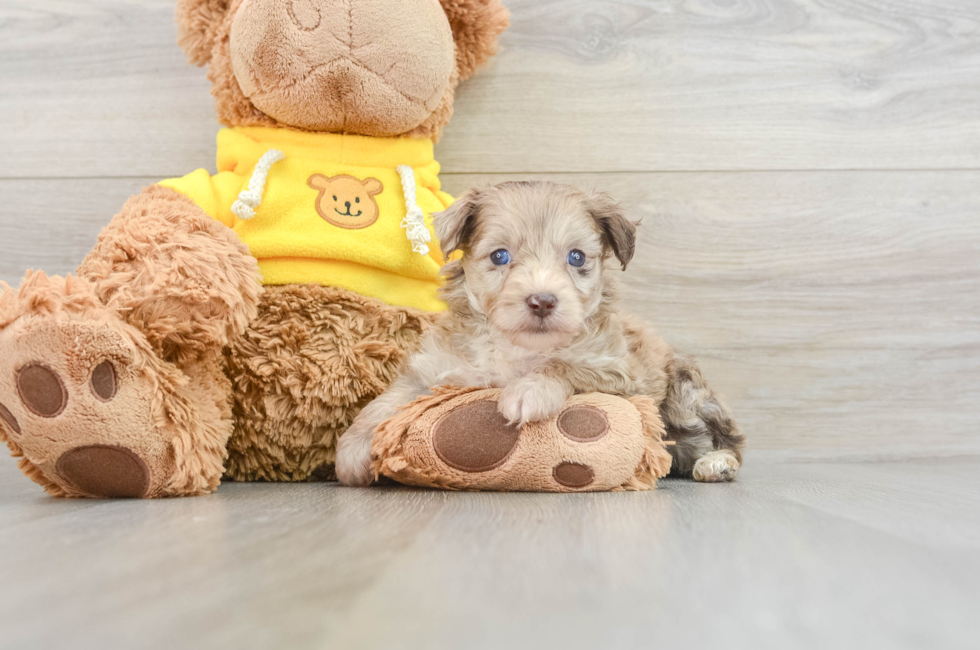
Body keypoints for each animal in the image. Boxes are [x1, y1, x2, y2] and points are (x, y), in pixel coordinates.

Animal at [336, 180, 744, 484]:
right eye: (499, 256)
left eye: (576, 257)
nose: (542, 301)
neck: (517, 347)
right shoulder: (434, 368)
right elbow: (388, 400)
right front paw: (352, 449)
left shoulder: (619, 374)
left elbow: (565, 365)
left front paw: (530, 390)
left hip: (683, 396)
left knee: (722, 438)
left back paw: (717, 462)